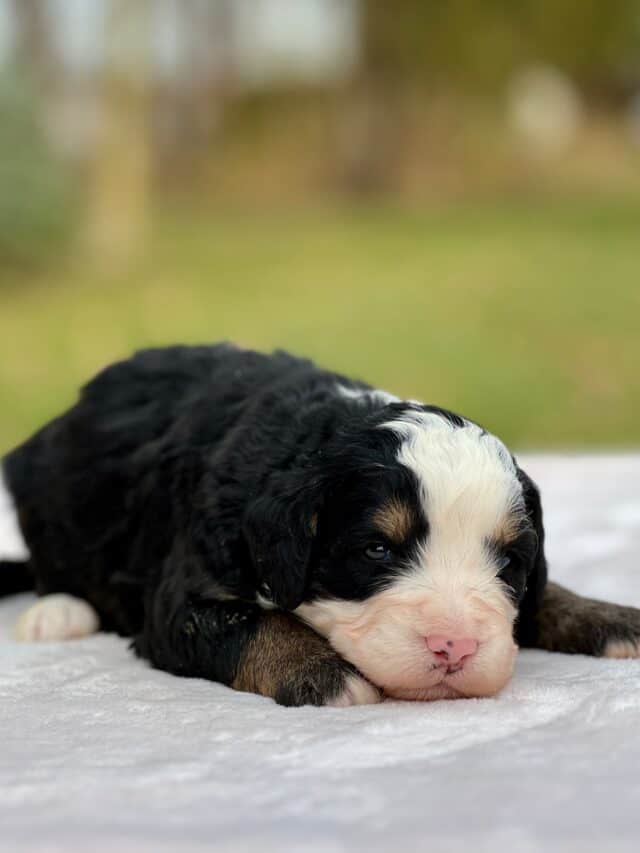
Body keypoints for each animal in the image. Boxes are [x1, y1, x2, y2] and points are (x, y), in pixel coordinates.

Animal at [1, 342, 640, 704]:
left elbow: (545, 593)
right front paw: (324, 674)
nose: (454, 647)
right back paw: (57, 613)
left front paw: (608, 618)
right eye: (377, 551)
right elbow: (255, 624)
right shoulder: (182, 600)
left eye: (509, 562)